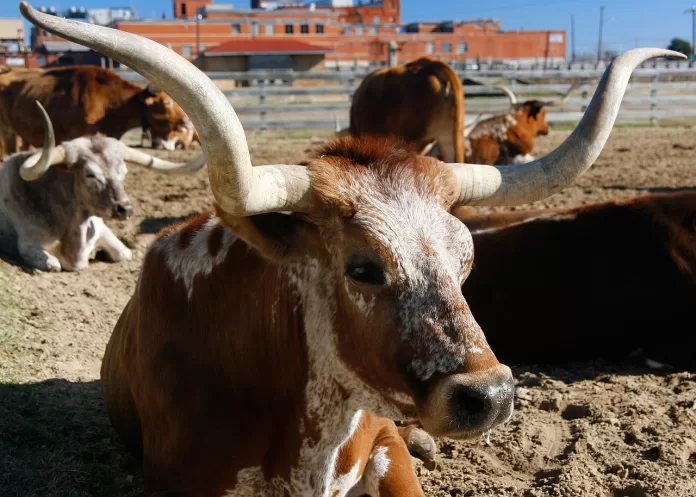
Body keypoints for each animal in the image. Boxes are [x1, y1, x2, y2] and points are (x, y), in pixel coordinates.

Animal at [0, 101, 205, 272]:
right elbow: (53, 264)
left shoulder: (103, 229)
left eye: (123, 171)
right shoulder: (28, 244)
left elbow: (125, 253)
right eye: (90, 174)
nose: (126, 209)